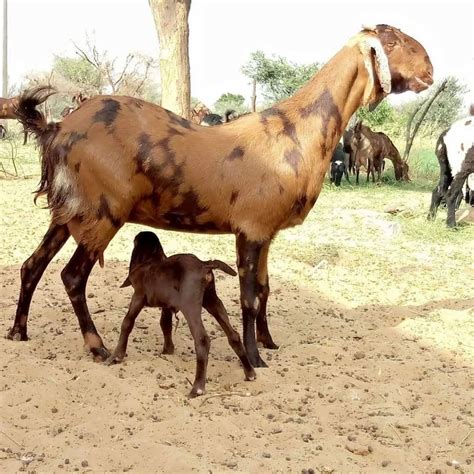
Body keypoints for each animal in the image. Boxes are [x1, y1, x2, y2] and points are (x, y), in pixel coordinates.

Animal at [8, 25, 434, 366]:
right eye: (393, 41)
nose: (429, 70)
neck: (294, 130)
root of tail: (56, 128)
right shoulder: (250, 230)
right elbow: (248, 297)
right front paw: (255, 358)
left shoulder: (266, 234)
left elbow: (265, 289)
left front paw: (268, 342)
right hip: (101, 214)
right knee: (72, 276)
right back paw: (96, 346)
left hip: (68, 213)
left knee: (32, 265)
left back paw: (18, 332)